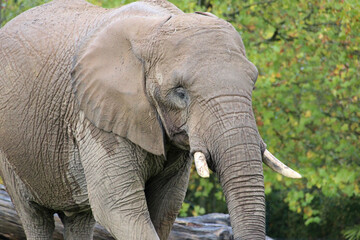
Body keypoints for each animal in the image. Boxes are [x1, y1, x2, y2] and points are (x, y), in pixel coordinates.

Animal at [0, 0, 300, 239]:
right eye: (180, 92)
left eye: (253, 83)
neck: (158, 27)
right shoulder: (96, 117)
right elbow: (117, 207)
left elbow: (166, 206)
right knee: (34, 216)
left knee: (79, 219)